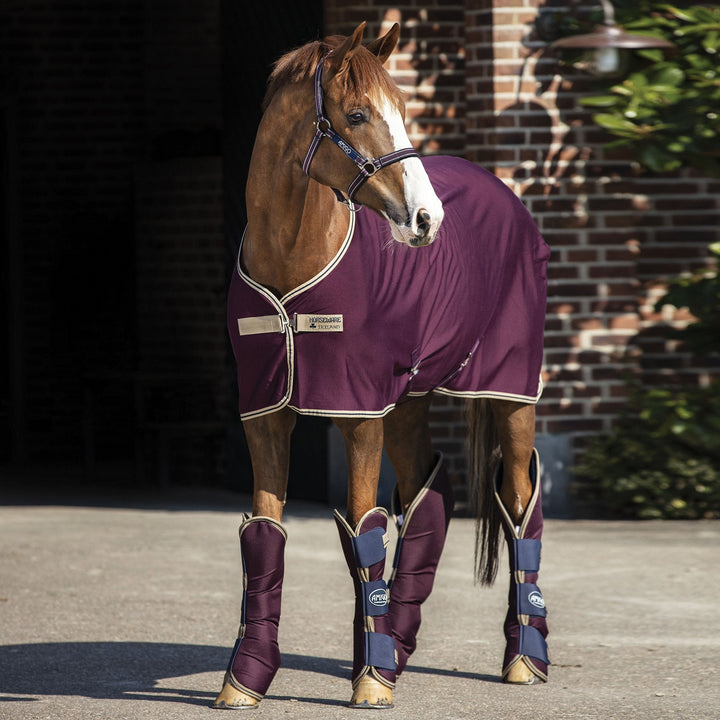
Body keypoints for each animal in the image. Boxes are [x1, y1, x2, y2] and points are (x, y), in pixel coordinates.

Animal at [214, 21, 552, 708]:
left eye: (401, 110)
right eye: (357, 114)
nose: (427, 219)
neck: (293, 260)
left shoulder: (358, 413)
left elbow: (365, 530)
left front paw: (368, 682)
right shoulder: (265, 415)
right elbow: (264, 535)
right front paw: (245, 679)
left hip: (509, 392)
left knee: (519, 500)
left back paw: (523, 658)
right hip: (410, 399)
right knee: (429, 498)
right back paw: (396, 647)